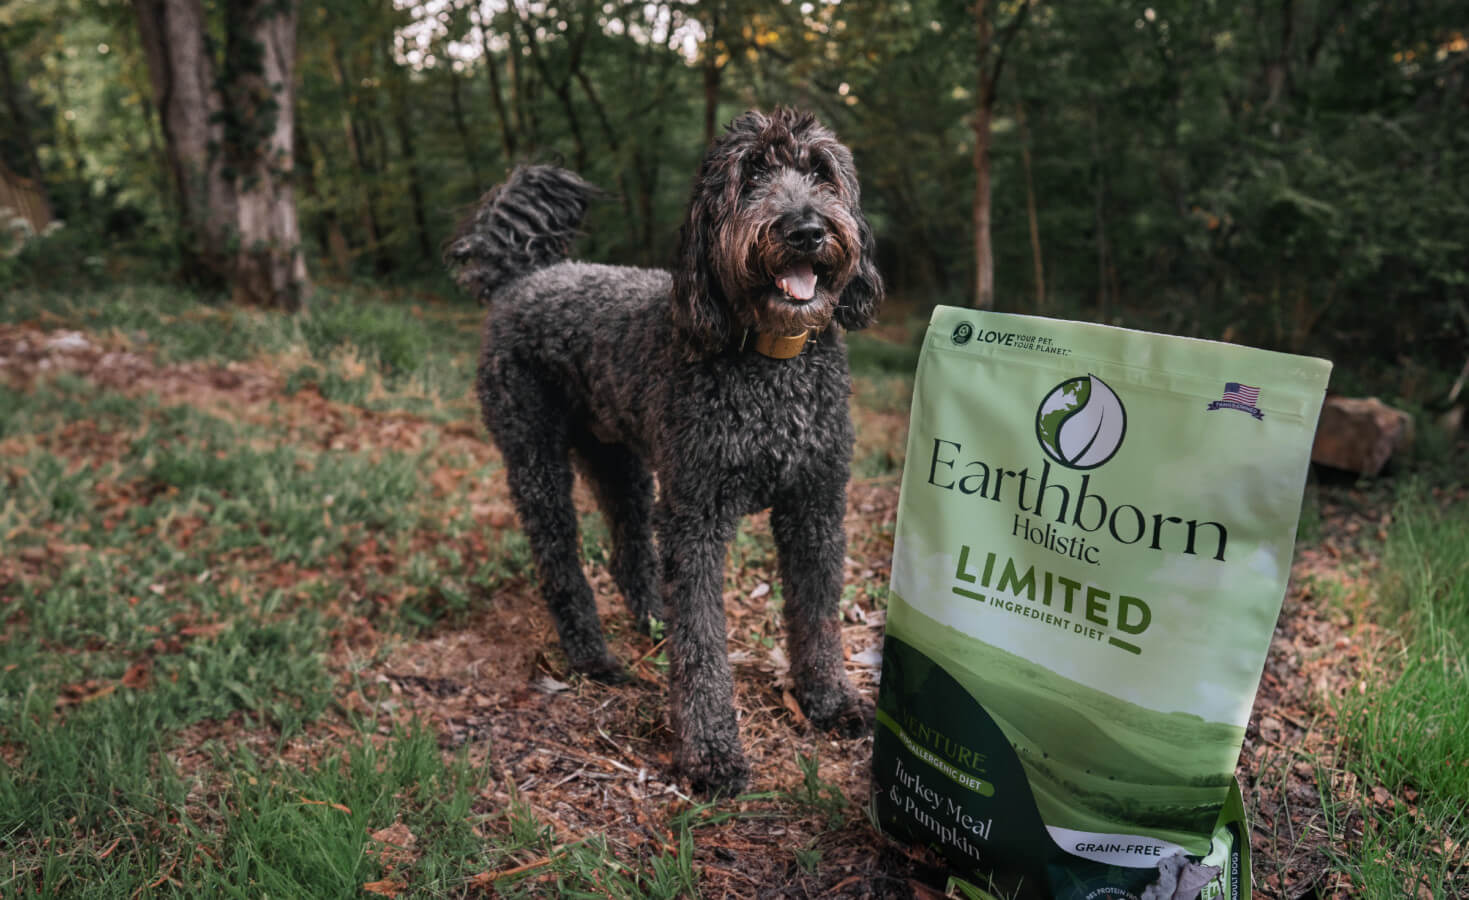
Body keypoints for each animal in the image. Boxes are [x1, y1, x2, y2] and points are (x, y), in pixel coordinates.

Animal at [443, 107, 881, 792]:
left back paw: (651, 625)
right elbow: (701, 642)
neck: (769, 363)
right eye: (750, 174)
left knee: (629, 553)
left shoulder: (814, 507)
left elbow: (817, 616)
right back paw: (592, 656)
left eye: (820, 172)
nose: (806, 230)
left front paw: (829, 702)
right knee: (559, 561)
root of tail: (526, 276)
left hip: (622, 463)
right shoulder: (696, 518)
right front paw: (710, 752)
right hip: (535, 459)